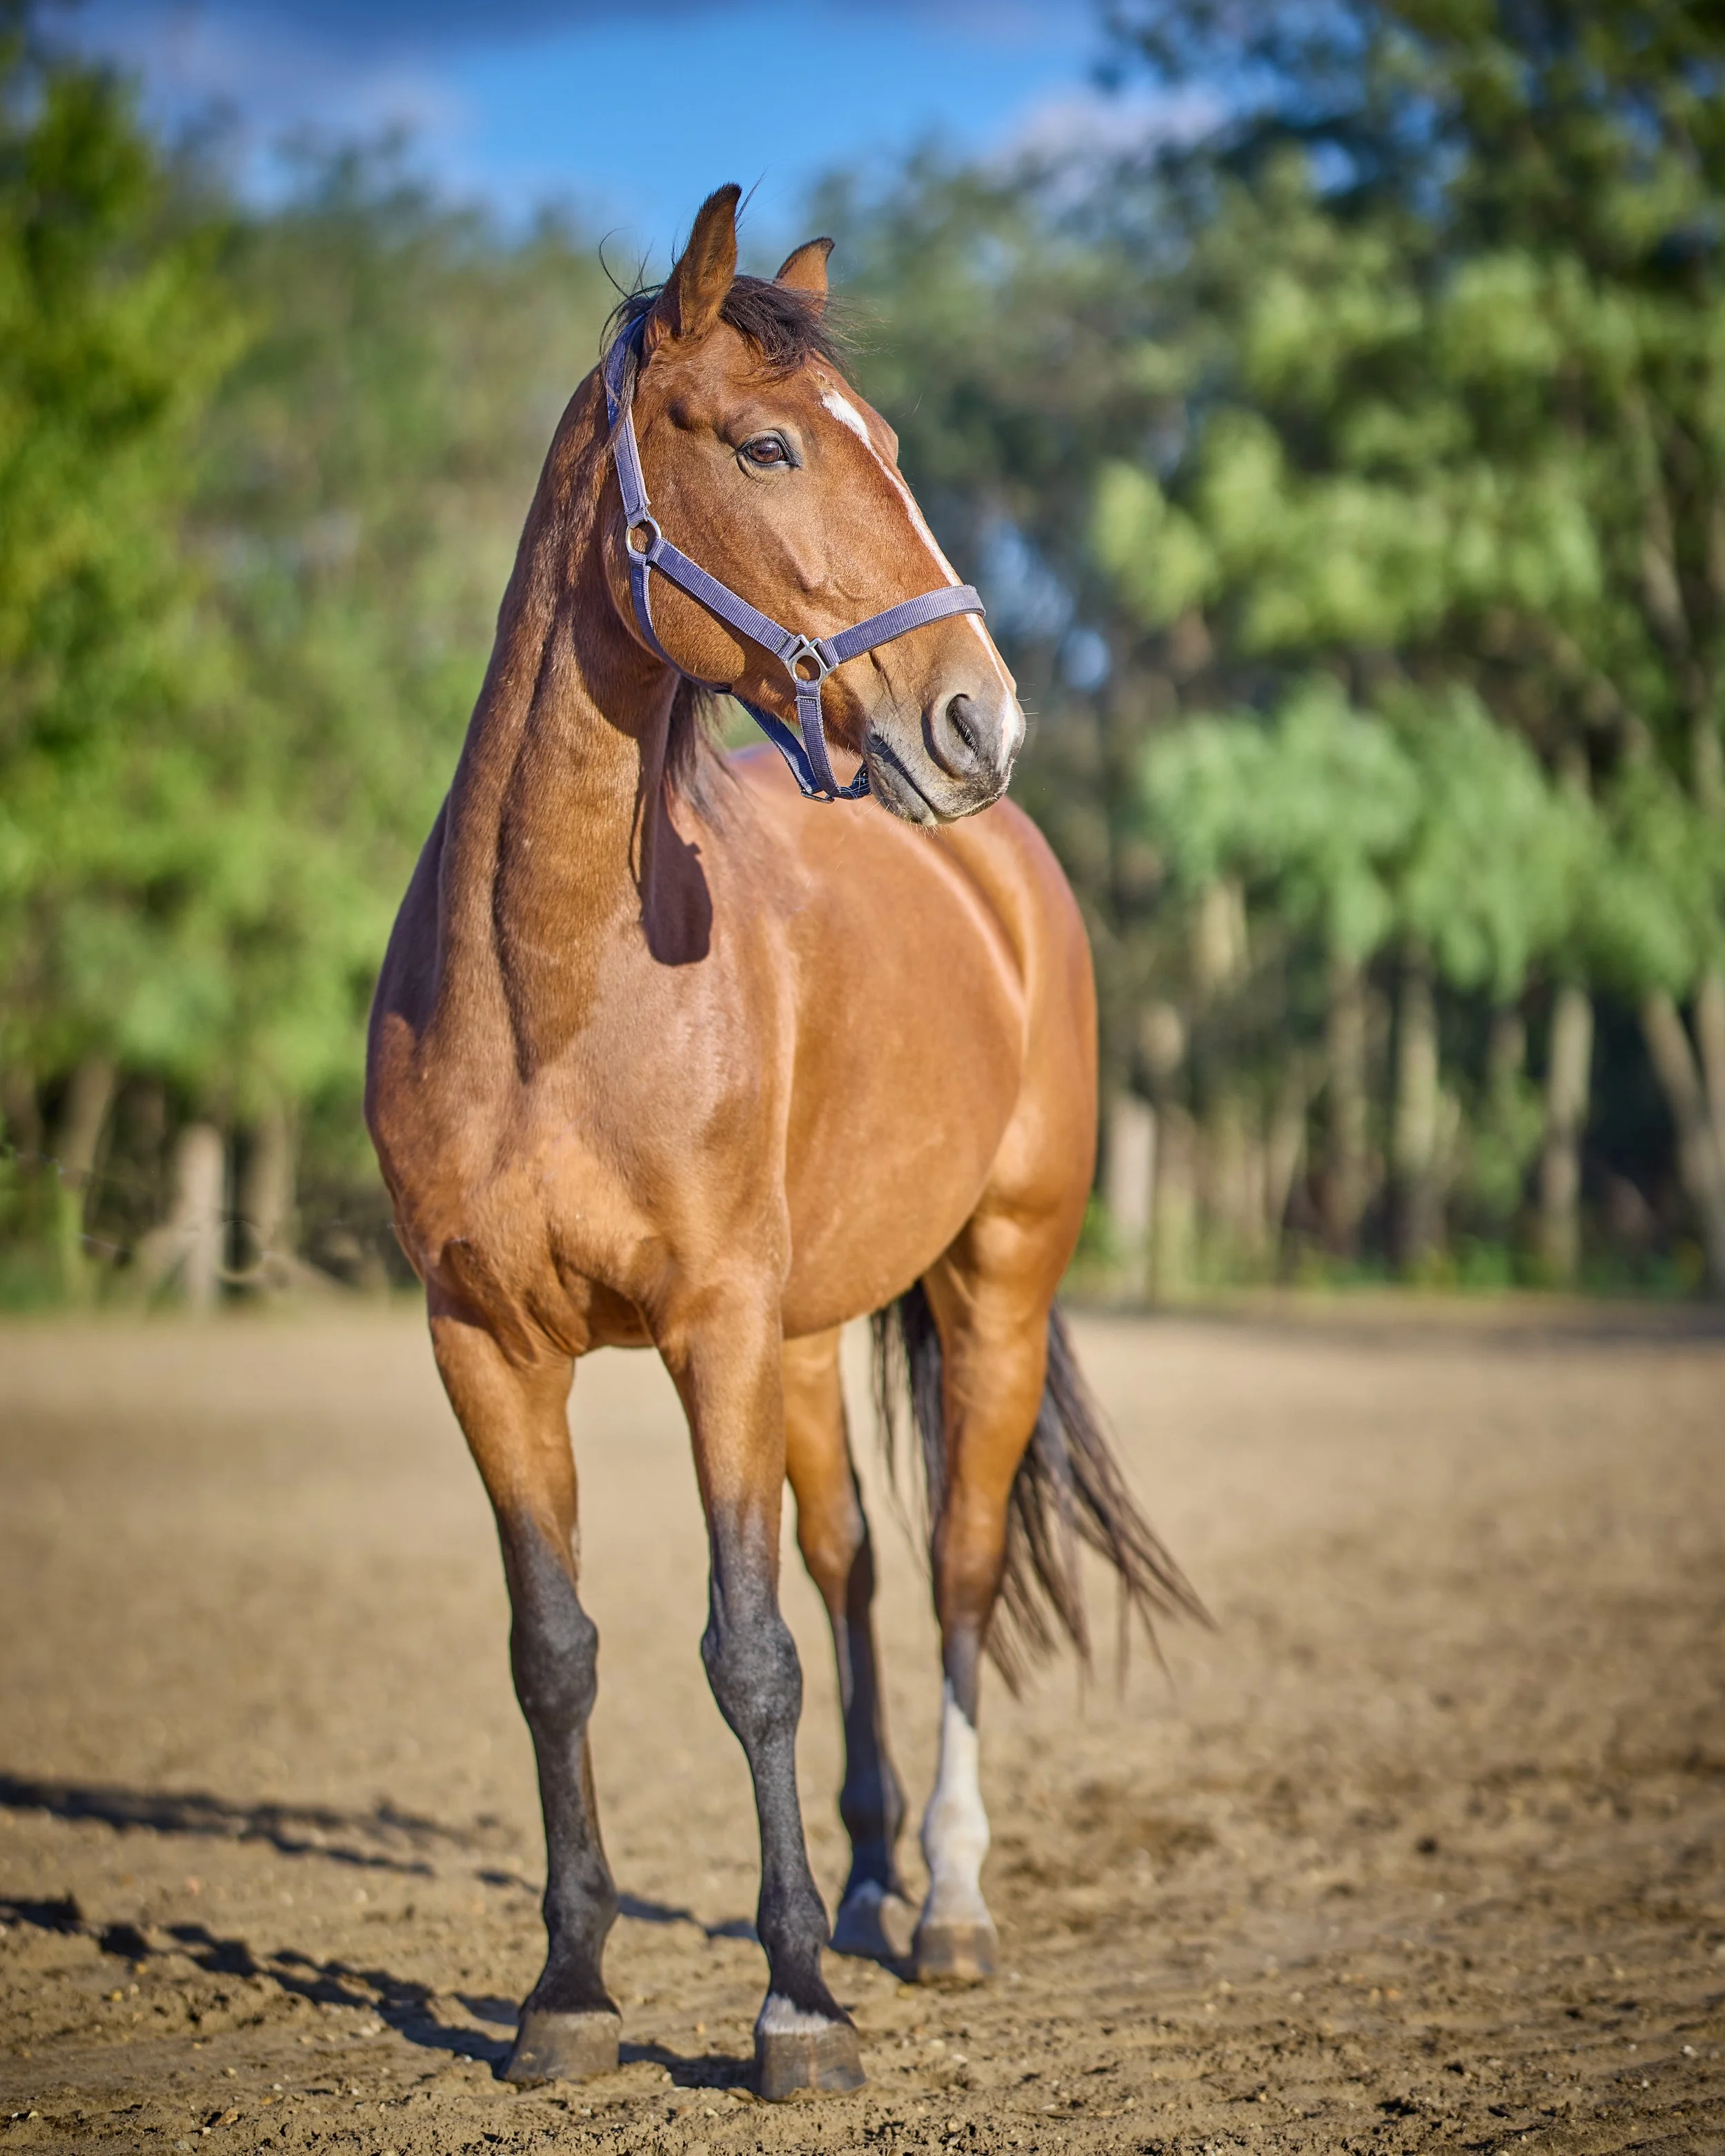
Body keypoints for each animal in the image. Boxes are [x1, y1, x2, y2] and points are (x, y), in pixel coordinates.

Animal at [366, 184, 1202, 2104]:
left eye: (879, 439)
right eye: (764, 443)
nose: (980, 717)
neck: (553, 988)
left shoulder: (714, 1331)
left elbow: (744, 1655)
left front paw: (797, 2000)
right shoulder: (484, 1345)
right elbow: (556, 1653)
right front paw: (569, 1988)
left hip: (991, 1285)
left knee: (955, 1567)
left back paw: (944, 1900)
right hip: (815, 1334)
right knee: (859, 1567)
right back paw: (880, 1867)